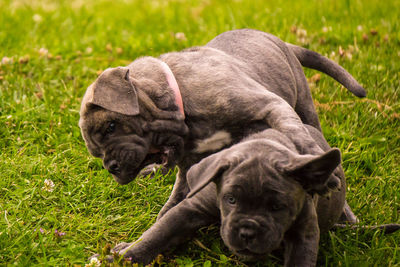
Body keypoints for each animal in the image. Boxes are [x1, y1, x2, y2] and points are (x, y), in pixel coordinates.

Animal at [78, 28, 366, 220]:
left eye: (111, 127)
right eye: (97, 153)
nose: (111, 167)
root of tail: (282, 42)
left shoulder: (271, 105)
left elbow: (299, 136)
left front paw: (327, 177)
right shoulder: (190, 170)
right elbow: (173, 205)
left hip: (304, 105)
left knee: (312, 133)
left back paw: (346, 214)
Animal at [101, 126, 398, 267]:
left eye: (277, 207)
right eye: (230, 200)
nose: (247, 231)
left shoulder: (304, 233)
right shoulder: (190, 209)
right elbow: (156, 236)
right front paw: (122, 258)